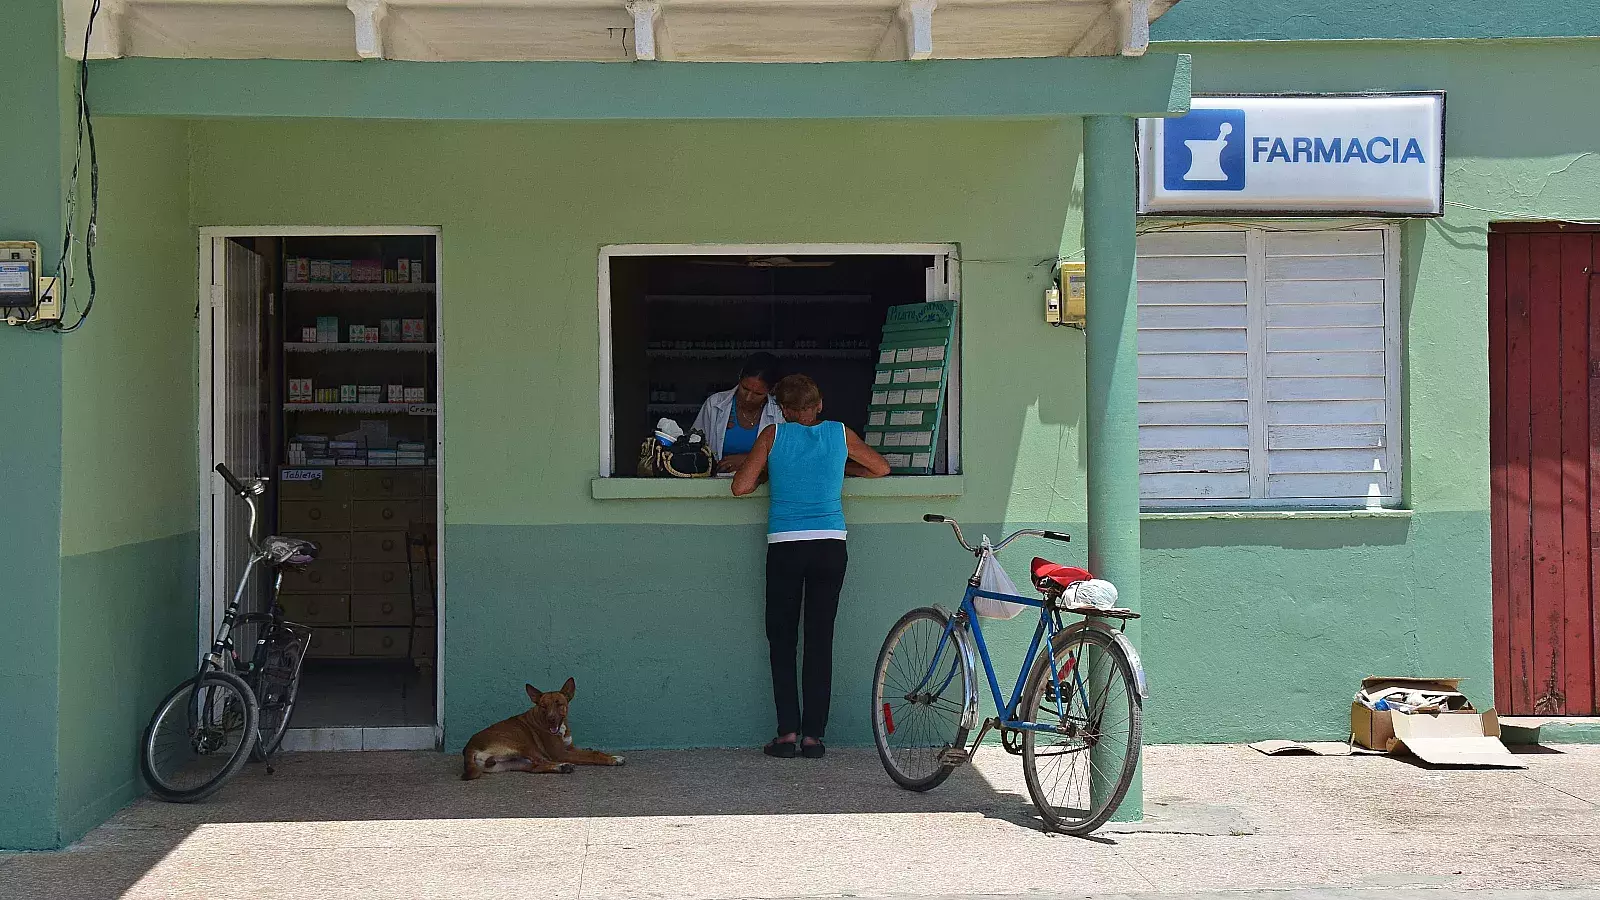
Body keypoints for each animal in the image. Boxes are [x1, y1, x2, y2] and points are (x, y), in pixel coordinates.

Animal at [460, 675, 620, 775]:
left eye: (559, 704)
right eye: (543, 706)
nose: (551, 719)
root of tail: (470, 747)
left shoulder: (570, 748)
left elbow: (594, 752)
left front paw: (613, 757)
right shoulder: (561, 753)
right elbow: (593, 755)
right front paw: (612, 759)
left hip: (511, 763)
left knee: (536, 767)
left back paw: (562, 768)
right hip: (524, 746)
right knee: (540, 762)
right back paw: (563, 766)